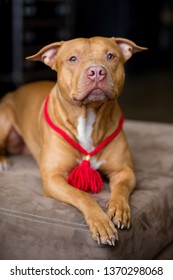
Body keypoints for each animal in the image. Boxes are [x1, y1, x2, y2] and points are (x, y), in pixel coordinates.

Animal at [0, 36, 147, 245]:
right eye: (73, 59)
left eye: (111, 56)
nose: (97, 71)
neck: (88, 116)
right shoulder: (53, 178)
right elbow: (82, 195)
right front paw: (100, 222)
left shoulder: (124, 171)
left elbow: (120, 190)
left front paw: (119, 209)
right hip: (4, 121)